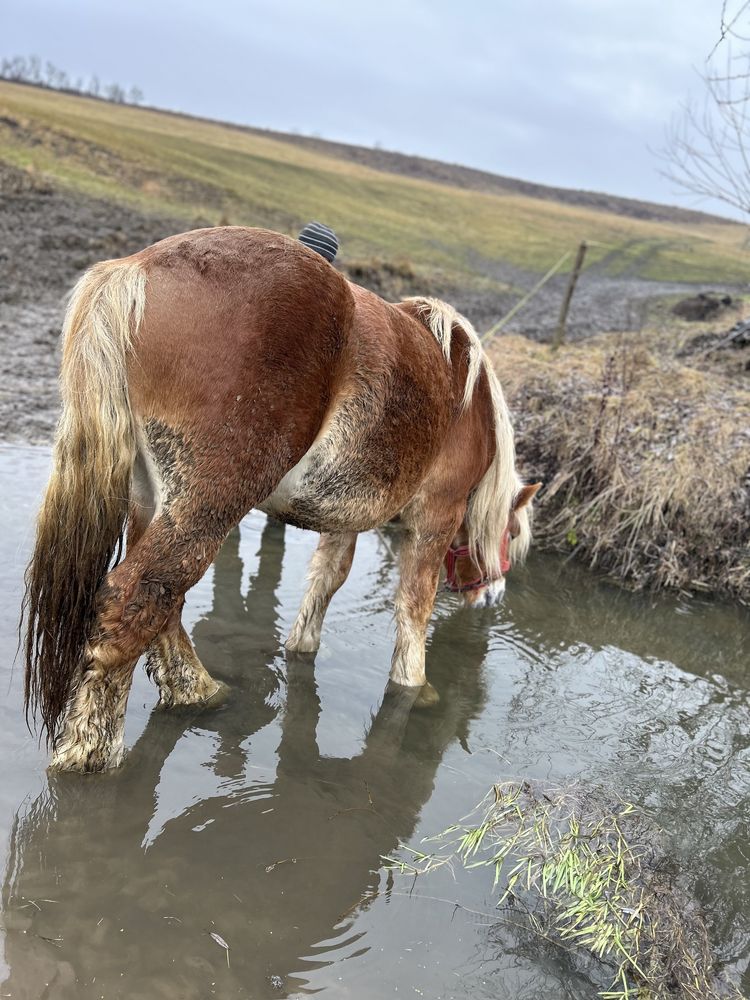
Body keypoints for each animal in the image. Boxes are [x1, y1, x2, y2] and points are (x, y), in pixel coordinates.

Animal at [22, 227, 540, 772]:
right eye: (511, 534)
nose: (493, 594)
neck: (467, 399)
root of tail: (138, 267)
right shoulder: (438, 514)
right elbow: (413, 605)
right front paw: (415, 689)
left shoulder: (345, 519)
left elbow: (325, 582)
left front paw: (301, 650)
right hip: (209, 504)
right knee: (135, 601)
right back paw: (90, 754)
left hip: (154, 499)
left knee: (164, 602)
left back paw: (197, 691)